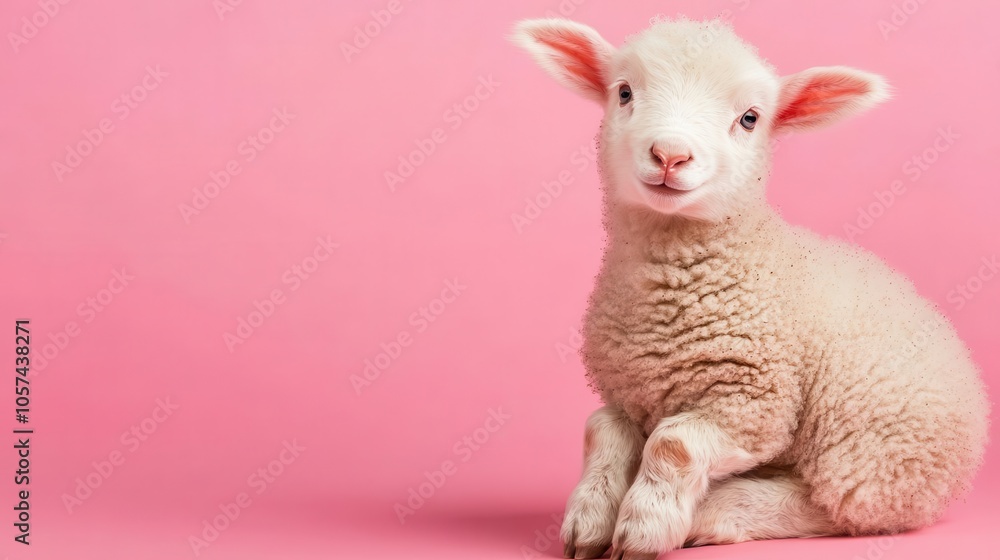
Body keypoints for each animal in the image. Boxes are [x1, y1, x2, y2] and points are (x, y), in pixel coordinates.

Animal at [511, 16, 990, 559]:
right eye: (625, 92)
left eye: (750, 119)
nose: (670, 154)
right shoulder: (626, 393)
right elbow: (601, 431)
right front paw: (588, 521)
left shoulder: (754, 407)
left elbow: (673, 444)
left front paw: (644, 529)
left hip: (872, 455)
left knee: (836, 508)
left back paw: (715, 511)